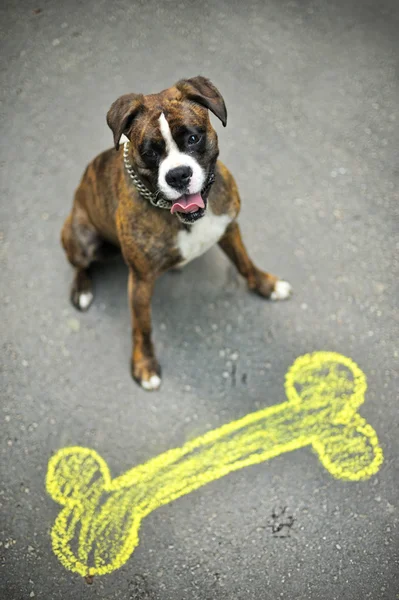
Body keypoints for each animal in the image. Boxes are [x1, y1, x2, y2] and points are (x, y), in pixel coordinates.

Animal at [62, 75, 294, 392]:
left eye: (193, 139)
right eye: (149, 152)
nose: (178, 175)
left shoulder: (229, 228)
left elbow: (245, 263)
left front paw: (266, 285)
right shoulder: (140, 281)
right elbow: (142, 327)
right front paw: (144, 365)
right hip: (81, 237)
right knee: (80, 264)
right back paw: (82, 289)